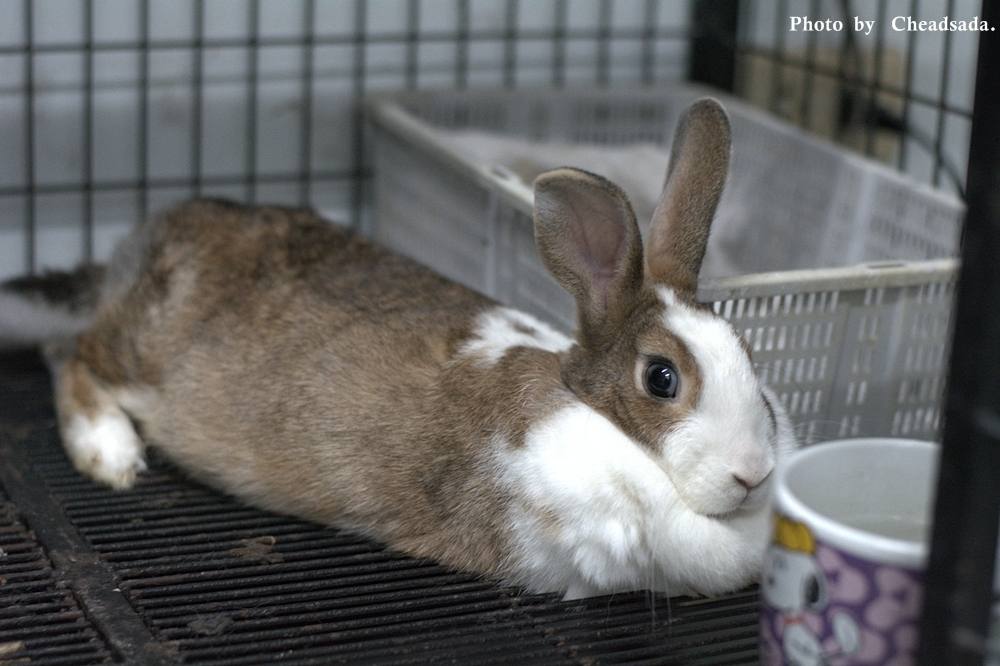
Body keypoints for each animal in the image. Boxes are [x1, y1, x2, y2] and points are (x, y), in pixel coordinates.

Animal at [1, 97, 796, 596]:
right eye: (661, 378)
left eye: (750, 355)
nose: (754, 474)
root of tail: (128, 257)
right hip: (136, 350)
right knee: (75, 356)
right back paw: (110, 455)